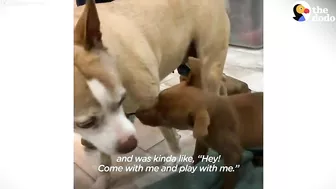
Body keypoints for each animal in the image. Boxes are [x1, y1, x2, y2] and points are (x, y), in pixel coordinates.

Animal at [135, 57, 262, 189]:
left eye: (165, 118)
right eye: (159, 97)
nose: (136, 112)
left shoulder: (233, 156)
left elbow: (228, 181)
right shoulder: (201, 144)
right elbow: (196, 158)